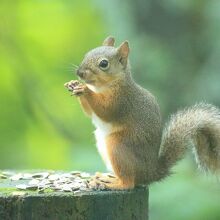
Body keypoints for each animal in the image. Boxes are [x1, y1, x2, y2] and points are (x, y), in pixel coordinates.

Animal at [64, 37, 220, 190]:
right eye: (86, 54)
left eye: (104, 63)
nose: (79, 73)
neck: (102, 87)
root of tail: (150, 173)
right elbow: (89, 113)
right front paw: (73, 84)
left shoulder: (122, 100)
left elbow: (106, 111)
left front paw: (85, 89)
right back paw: (107, 177)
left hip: (118, 146)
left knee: (129, 183)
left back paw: (113, 183)